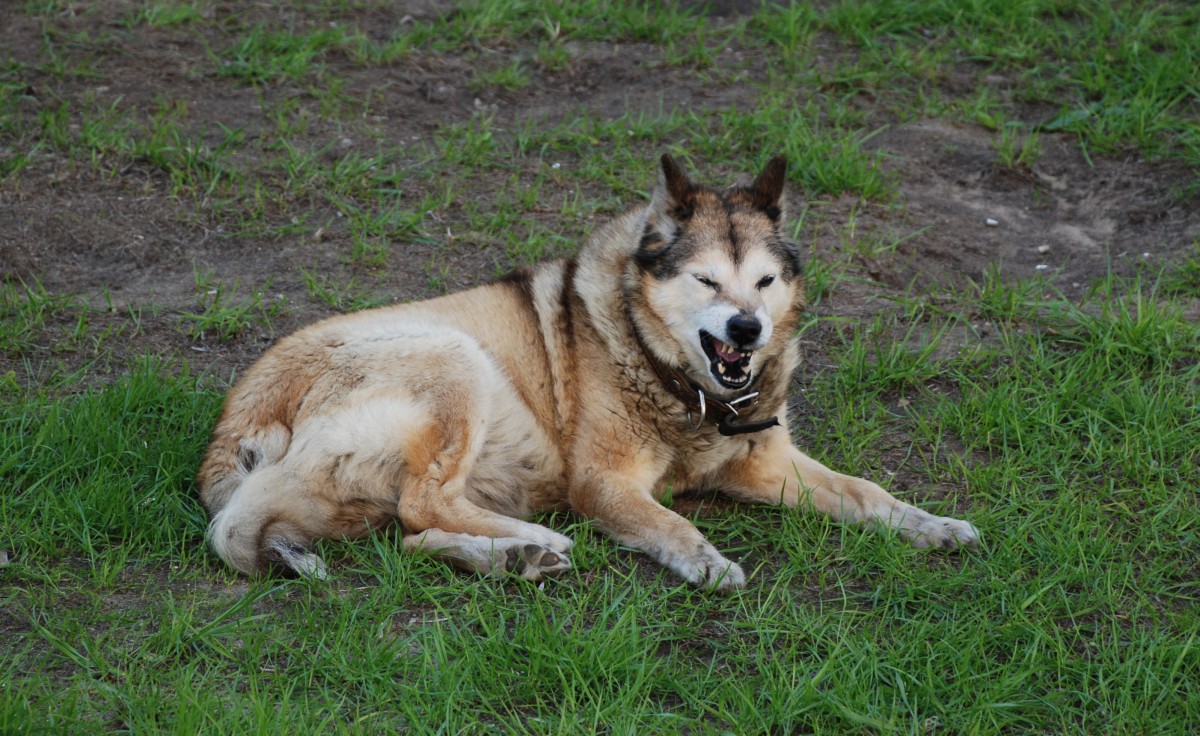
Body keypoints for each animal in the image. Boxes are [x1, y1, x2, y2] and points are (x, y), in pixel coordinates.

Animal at [196, 154, 979, 590]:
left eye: (763, 281)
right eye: (705, 280)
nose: (746, 330)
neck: (683, 389)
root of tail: (234, 427)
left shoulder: (766, 463)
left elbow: (869, 494)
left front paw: (933, 526)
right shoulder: (603, 481)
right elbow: (668, 522)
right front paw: (706, 563)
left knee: (414, 539)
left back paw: (512, 559)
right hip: (454, 360)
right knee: (425, 504)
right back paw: (538, 541)